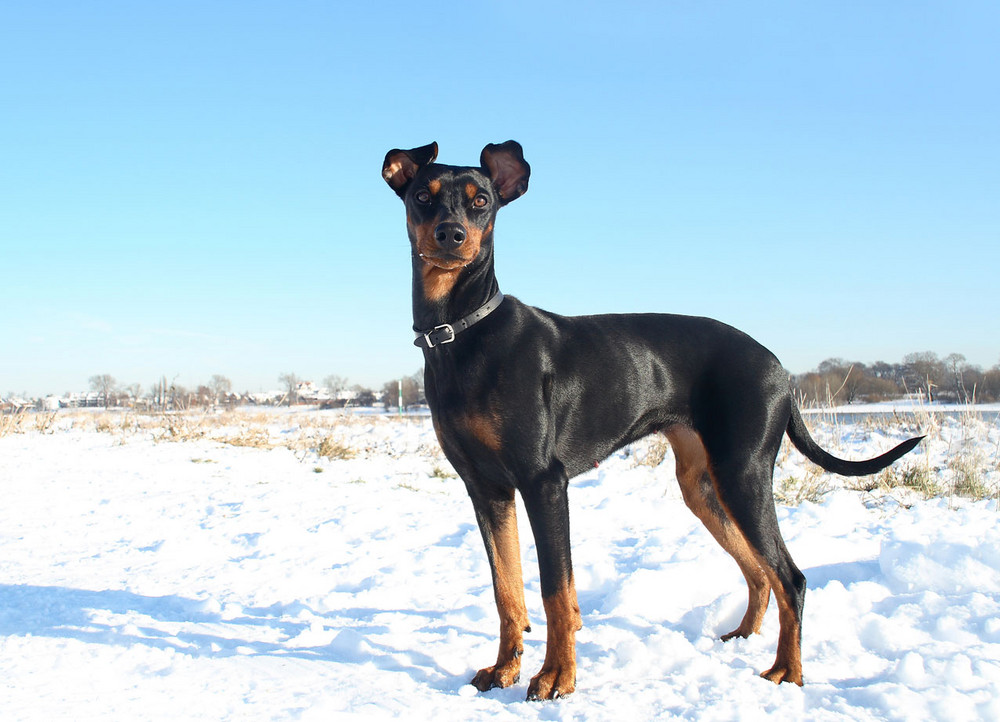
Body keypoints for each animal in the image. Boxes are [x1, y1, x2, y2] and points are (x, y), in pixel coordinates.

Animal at [380, 141, 920, 696]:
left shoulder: (543, 482)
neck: (462, 332)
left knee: (790, 576)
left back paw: (787, 671)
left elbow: (555, 591)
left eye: (481, 200)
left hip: (742, 474)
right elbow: (506, 590)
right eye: (422, 196)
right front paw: (504, 669)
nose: (451, 235)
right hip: (704, 486)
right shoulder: (486, 489)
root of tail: (781, 370)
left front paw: (556, 677)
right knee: (759, 572)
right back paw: (743, 638)